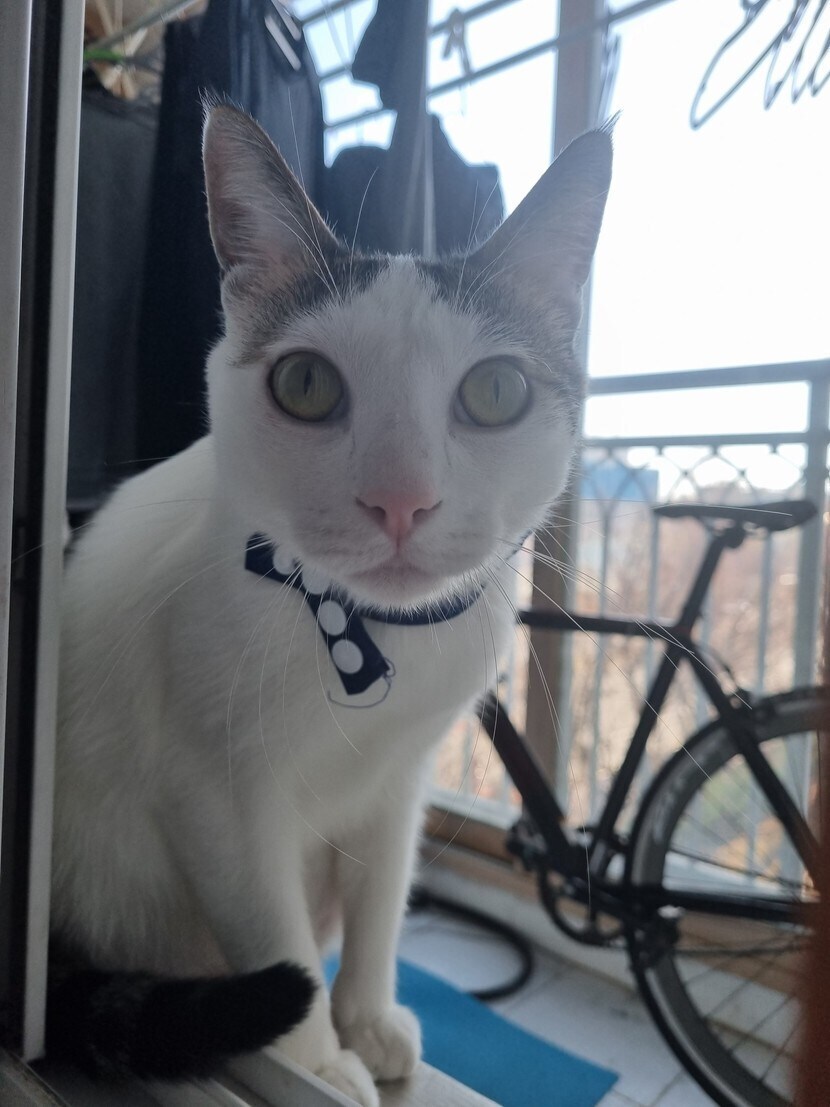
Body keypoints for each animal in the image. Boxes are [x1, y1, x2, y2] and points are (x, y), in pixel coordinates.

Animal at [49, 104, 611, 1104]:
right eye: (305, 384)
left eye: (496, 391)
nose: (401, 499)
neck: (365, 635)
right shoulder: (218, 796)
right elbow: (277, 939)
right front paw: (316, 1061)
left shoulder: (403, 777)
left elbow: (382, 901)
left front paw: (372, 1017)